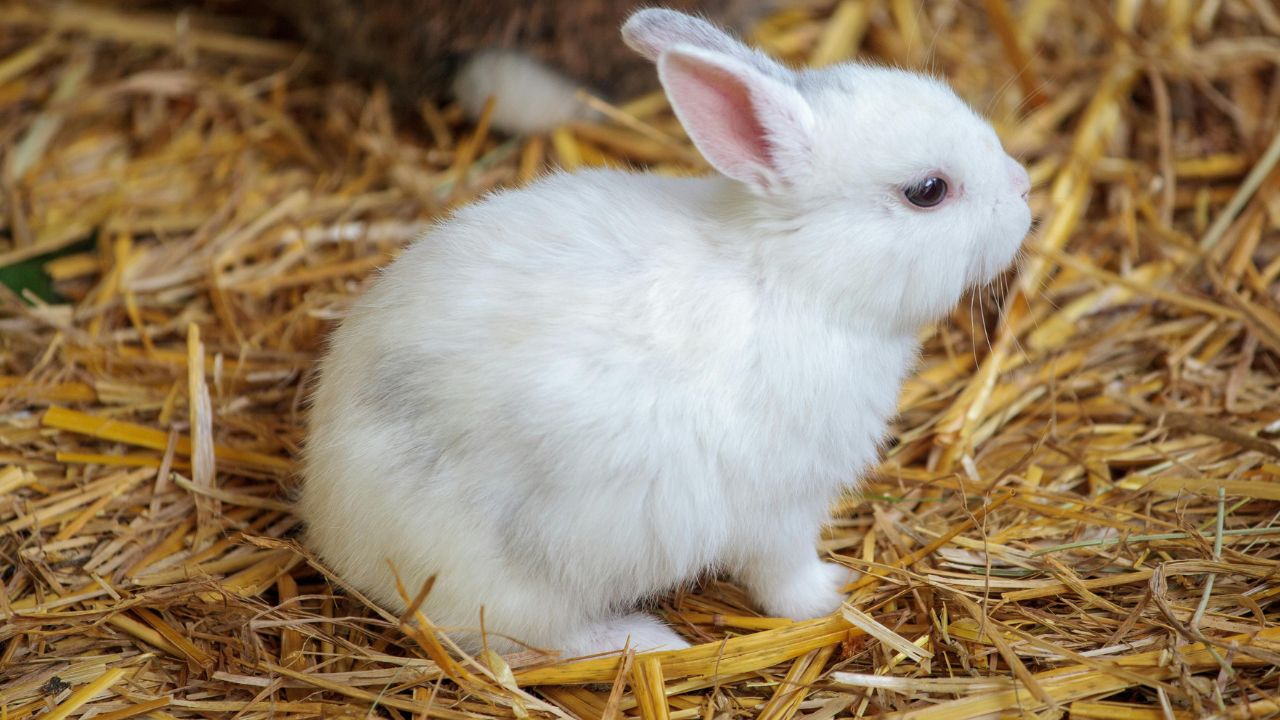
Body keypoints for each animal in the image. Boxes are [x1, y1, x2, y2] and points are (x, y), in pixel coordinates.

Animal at [299, 8, 1032, 658]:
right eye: (927, 191)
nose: (1024, 190)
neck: (791, 278)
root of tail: (332, 523)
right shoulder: (781, 509)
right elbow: (783, 576)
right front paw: (832, 593)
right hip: (516, 580)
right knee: (521, 643)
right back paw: (642, 640)